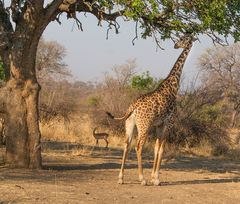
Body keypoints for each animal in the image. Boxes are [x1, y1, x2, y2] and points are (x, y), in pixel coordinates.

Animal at [107, 34, 195, 186]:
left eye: (183, 38)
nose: (176, 45)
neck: (174, 86)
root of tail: (133, 107)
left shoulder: (159, 125)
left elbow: (156, 148)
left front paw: (154, 177)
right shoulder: (169, 123)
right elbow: (162, 149)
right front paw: (157, 179)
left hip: (130, 123)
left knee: (126, 145)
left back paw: (121, 178)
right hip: (144, 125)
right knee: (138, 146)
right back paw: (142, 179)